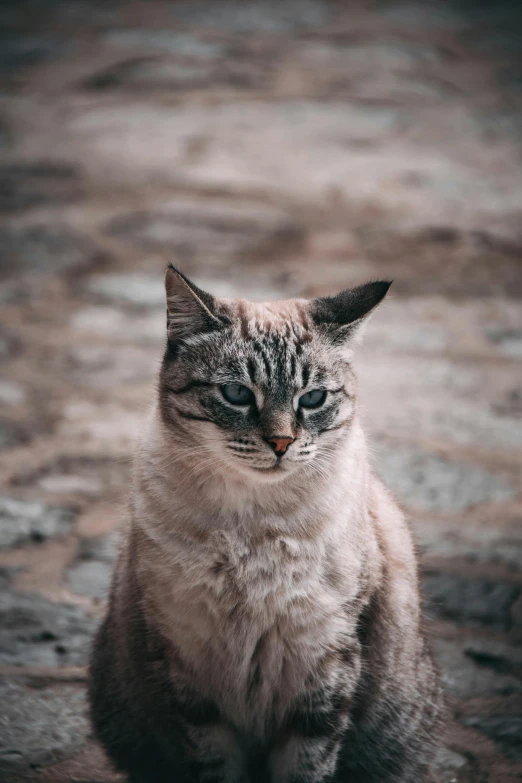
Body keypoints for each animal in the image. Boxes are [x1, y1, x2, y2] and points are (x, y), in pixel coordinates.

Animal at [87, 266, 440, 780]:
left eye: (313, 399)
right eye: (236, 394)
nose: (281, 443)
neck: (254, 526)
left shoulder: (323, 670)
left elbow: (306, 765)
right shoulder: (190, 671)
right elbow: (217, 763)